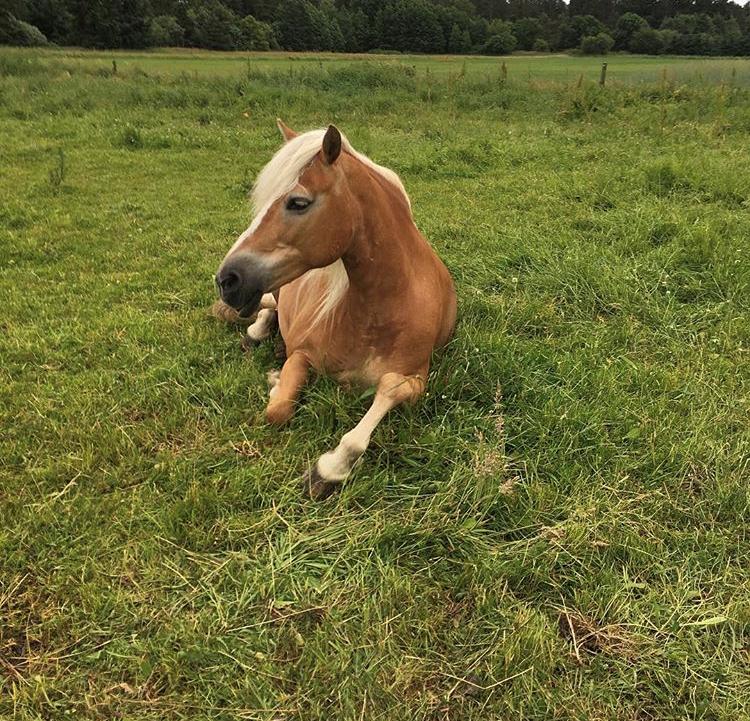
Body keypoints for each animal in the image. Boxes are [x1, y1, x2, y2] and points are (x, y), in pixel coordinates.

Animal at [214, 119, 456, 500]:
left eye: (298, 202)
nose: (227, 280)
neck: (382, 312)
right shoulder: (302, 353)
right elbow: (278, 410)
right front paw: (276, 382)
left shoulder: (418, 379)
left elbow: (389, 390)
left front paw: (330, 467)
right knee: (268, 306)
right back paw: (256, 333)